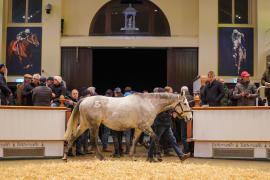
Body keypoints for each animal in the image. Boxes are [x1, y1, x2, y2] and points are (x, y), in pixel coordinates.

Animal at [63, 93, 192, 160]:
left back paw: (65, 156)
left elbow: (134, 141)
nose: (190, 118)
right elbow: (155, 138)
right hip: (94, 125)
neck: (149, 103)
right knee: (94, 141)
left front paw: (132, 156)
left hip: (84, 124)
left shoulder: (139, 128)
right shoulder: (145, 126)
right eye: (185, 103)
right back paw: (101, 157)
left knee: (73, 136)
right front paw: (159, 156)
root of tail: (85, 99)